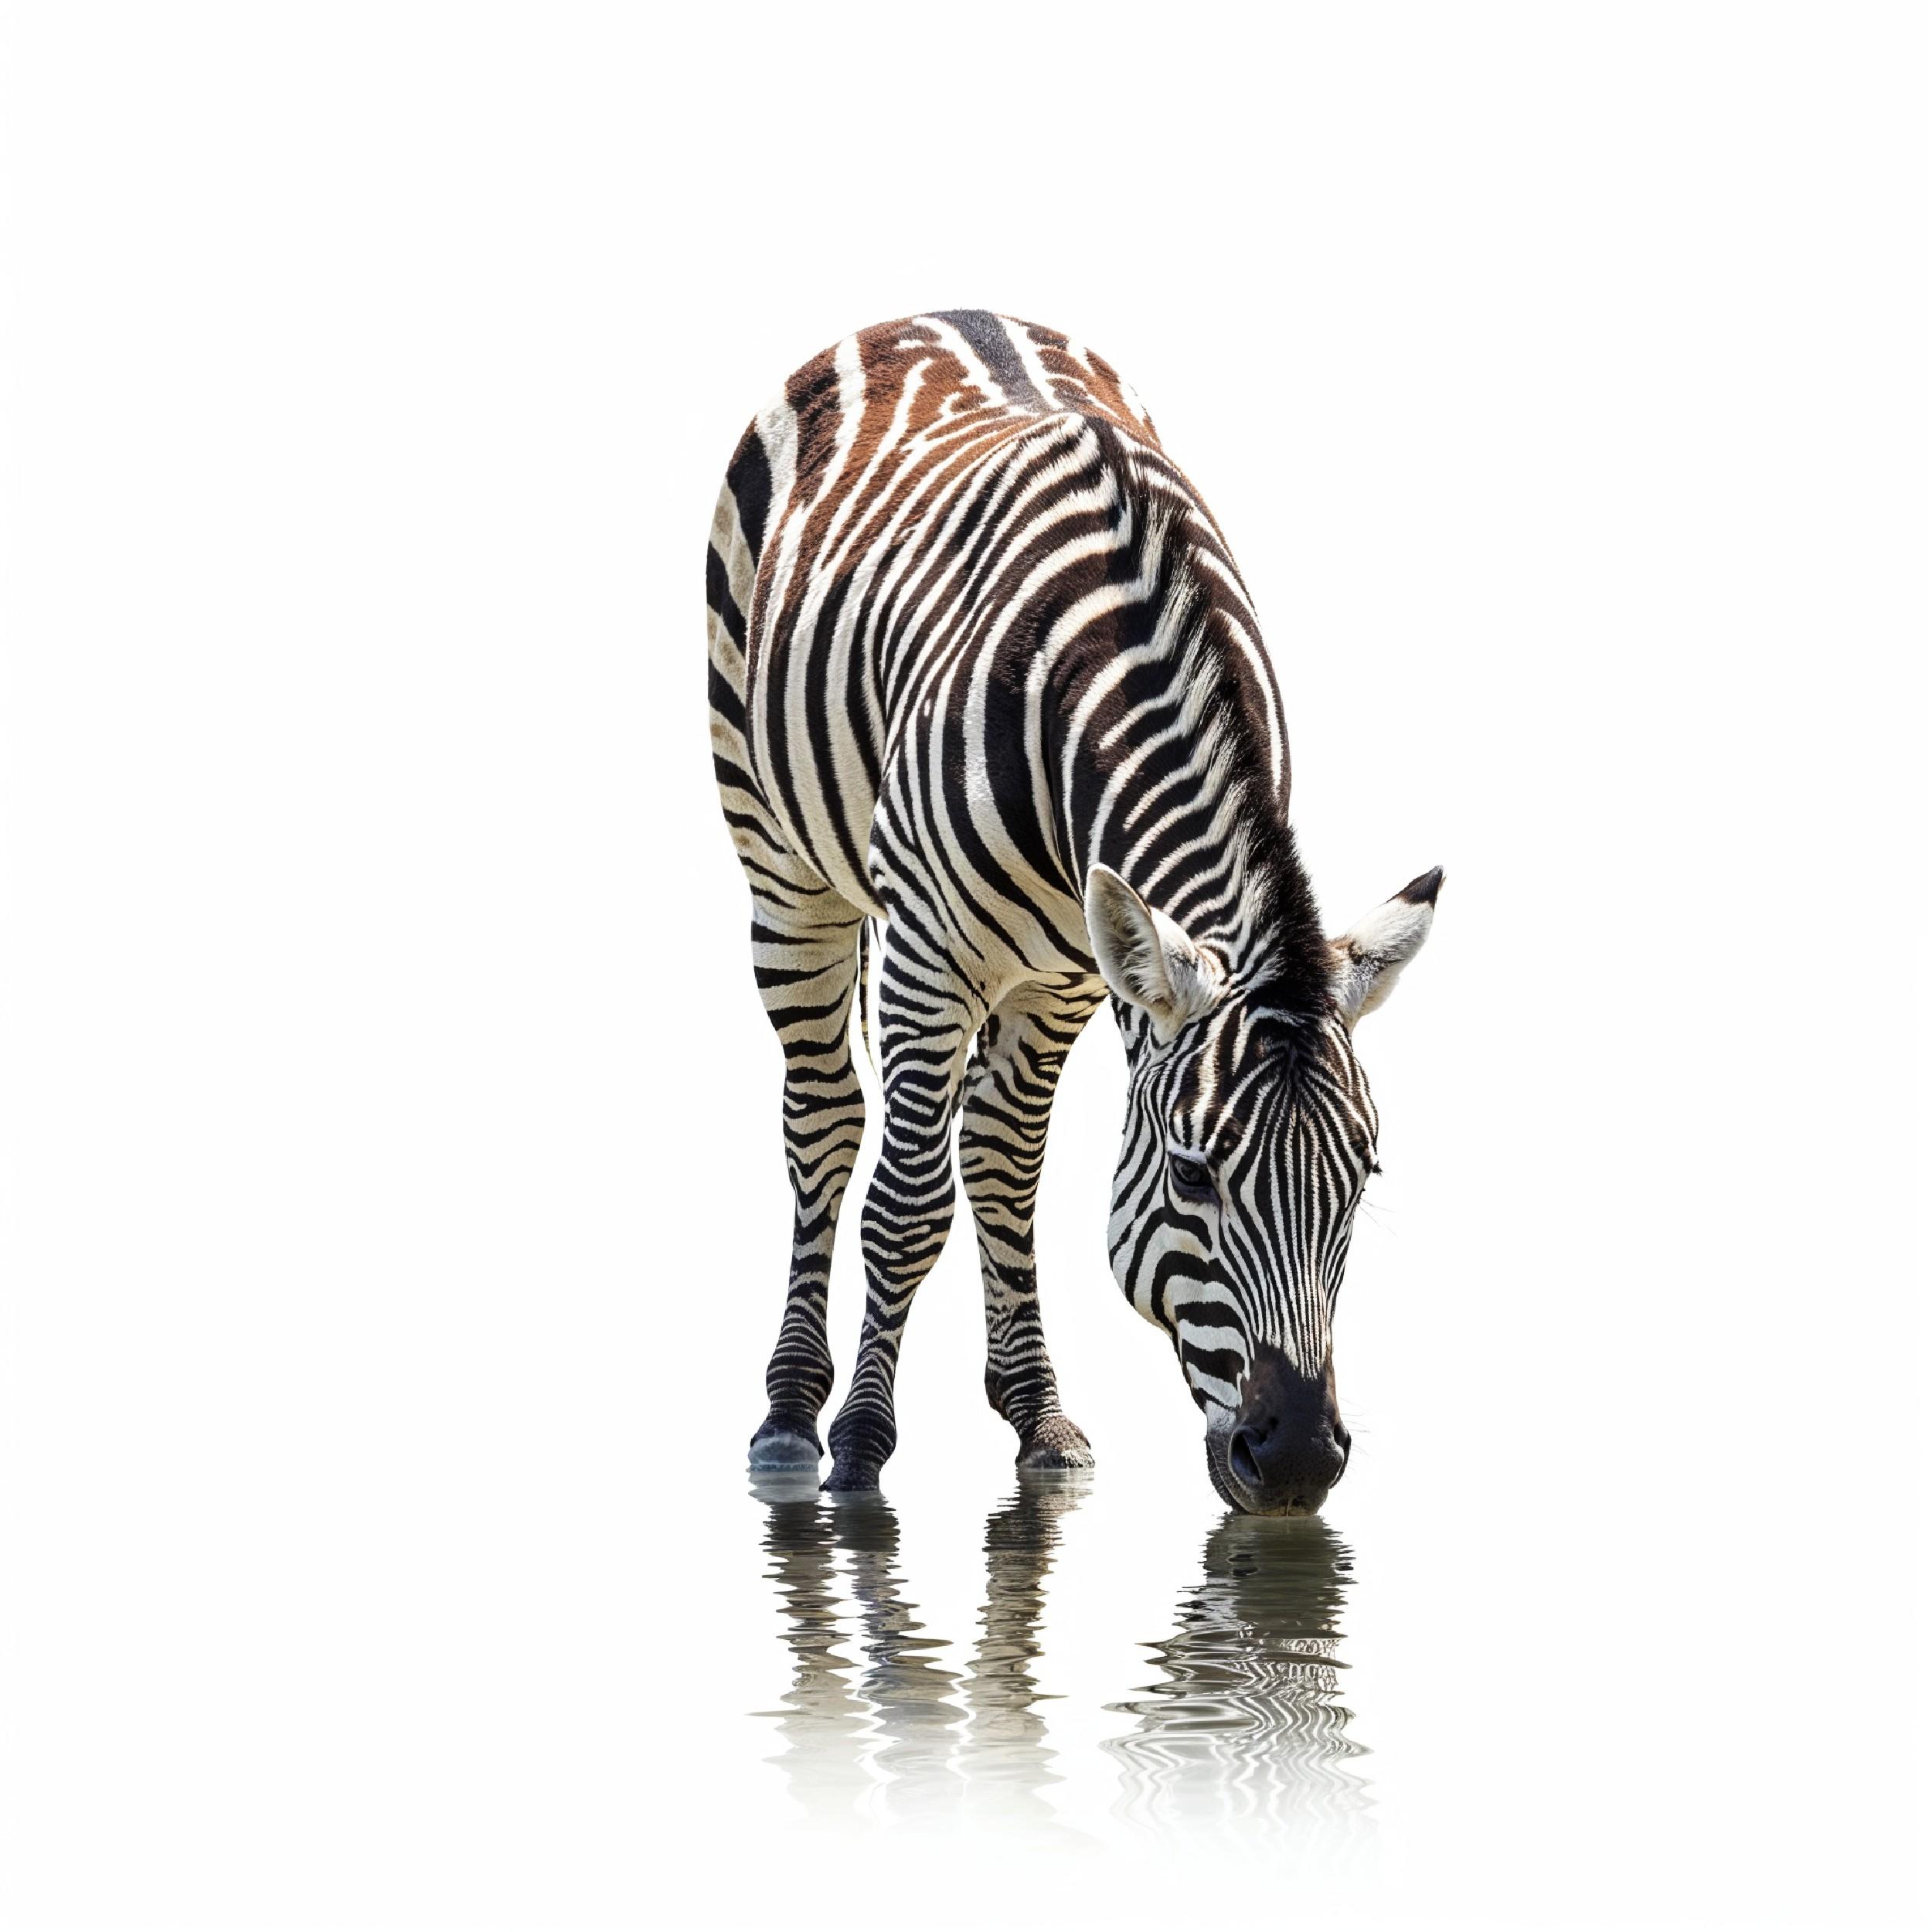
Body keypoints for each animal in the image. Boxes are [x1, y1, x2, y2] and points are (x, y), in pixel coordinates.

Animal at [707, 311, 1439, 1516]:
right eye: (1193, 1174)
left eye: (1362, 1177)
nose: (1295, 1462)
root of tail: (930, 313)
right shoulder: (929, 948)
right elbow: (907, 1205)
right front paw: (861, 1449)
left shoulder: (1073, 975)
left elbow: (1004, 1170)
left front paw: (1037, 1426)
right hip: (782, 861)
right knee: (825, 1122)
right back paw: (788, 1415)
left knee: (990, 1143)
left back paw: (1028, 1407)